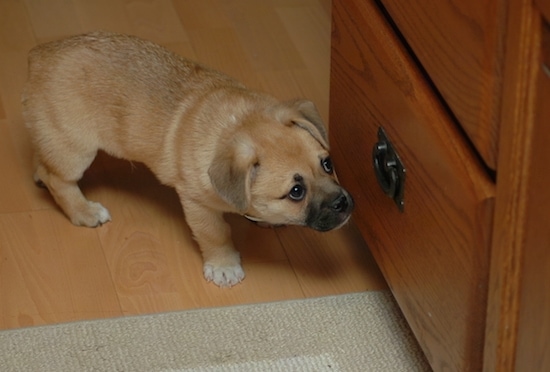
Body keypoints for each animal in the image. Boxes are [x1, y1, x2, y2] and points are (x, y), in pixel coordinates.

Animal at [21, 32, 356, 288]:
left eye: (328, 164)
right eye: (296, 192)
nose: (343, 203)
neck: (236, 126)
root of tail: (39, 55)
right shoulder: (198, 205)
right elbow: (216, 234)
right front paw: (223, 264)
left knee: (44, 159)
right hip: (75, 149)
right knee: (59, 180)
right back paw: (84, 211)